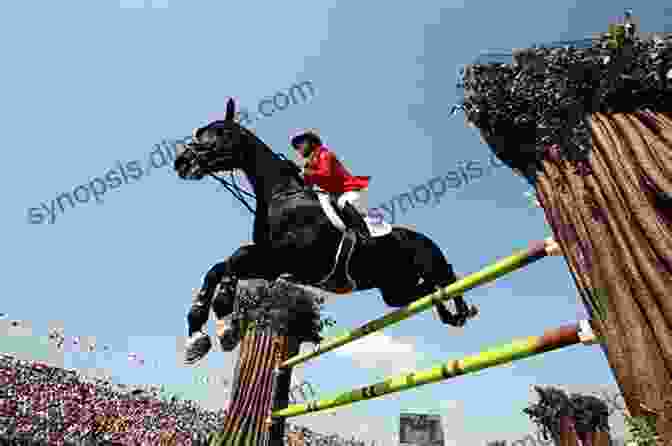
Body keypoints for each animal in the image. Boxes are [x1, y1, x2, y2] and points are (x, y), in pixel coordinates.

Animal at [173, 99, 478, 364]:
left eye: (220, 133)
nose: (181, 162)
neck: (282, 196)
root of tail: (426, 239)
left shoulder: (287, 261)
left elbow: (234, 259)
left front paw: (224, 318)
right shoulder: (271, 264)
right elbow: (218, 268)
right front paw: (197, 336)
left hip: (430, 264)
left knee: (447, 279)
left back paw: (461, 311)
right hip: (395, 290)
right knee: (424, 291)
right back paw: (447, 312)